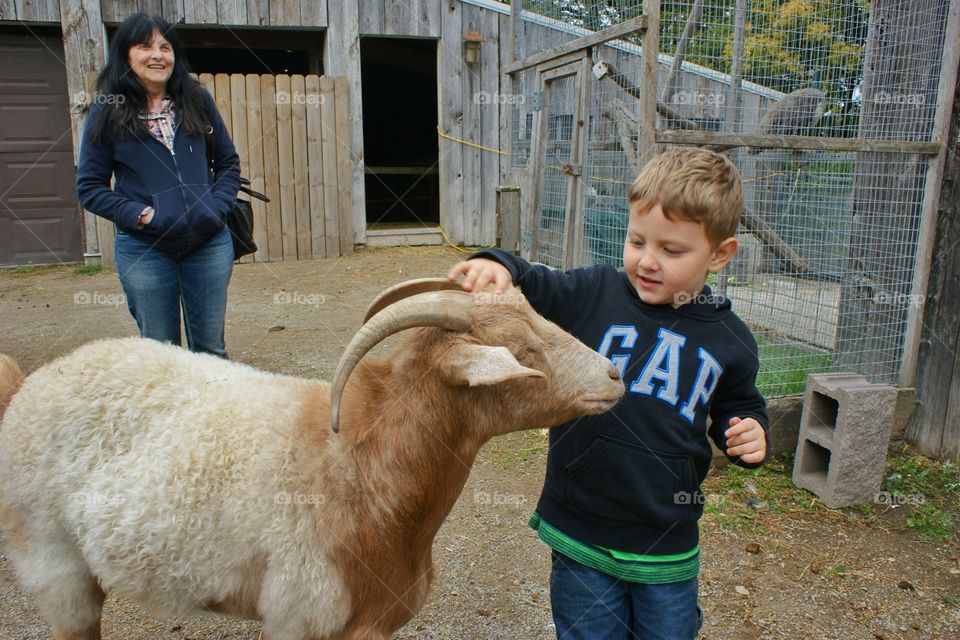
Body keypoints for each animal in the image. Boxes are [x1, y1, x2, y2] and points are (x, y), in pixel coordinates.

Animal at [0, 278, 624, 640]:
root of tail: (28, 387)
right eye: (523, 350)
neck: (357, 467)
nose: (615, 376)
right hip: (56, 567)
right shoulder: (298, 617)